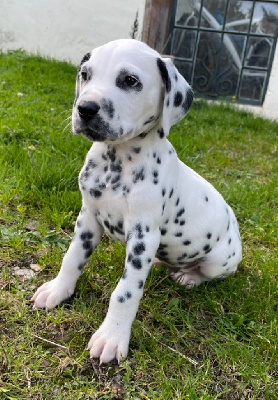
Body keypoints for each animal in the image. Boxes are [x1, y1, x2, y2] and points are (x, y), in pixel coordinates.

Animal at [32, 39, 241, 364]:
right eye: (85, 74)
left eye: (130, 81)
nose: (85, 108)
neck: (116, 163)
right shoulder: (88, 219)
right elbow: (72, 258)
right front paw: (57, 290)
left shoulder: (143, 237)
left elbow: (125, 291)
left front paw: (112, 336)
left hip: (219, 261)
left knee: (207, 273)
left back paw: (188, 277)